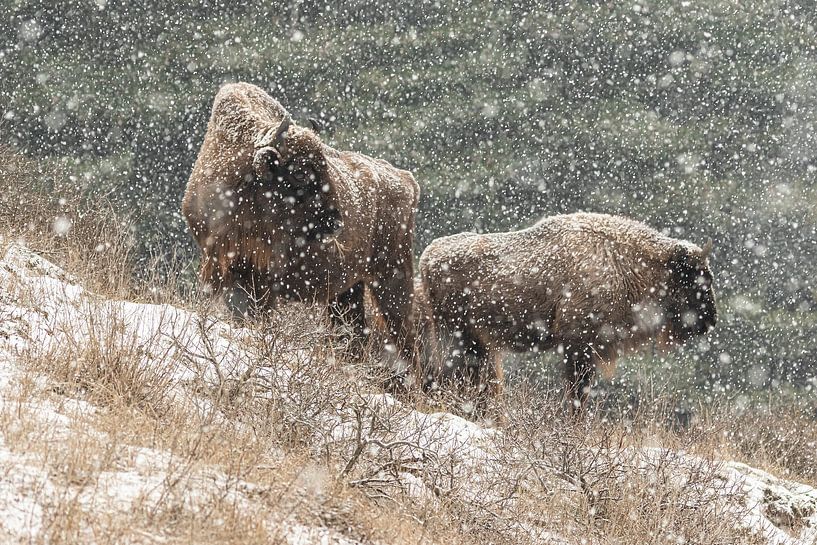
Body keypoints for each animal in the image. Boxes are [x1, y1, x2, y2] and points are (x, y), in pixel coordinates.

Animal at [181, 83, 418, 372]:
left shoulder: (262, 277)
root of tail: (405, 178)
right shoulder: (224, 263)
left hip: (392, 278)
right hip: (349, 288)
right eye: (301, 172)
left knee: (406, 340)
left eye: (325, 166)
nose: (335, 222)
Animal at [418, 210, 716, 410]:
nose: (710, 321)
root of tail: (428, 255)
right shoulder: (578, 346)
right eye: (699, 278)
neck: (623, 260)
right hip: (456, 336)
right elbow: (577, 393)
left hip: (477, 344)